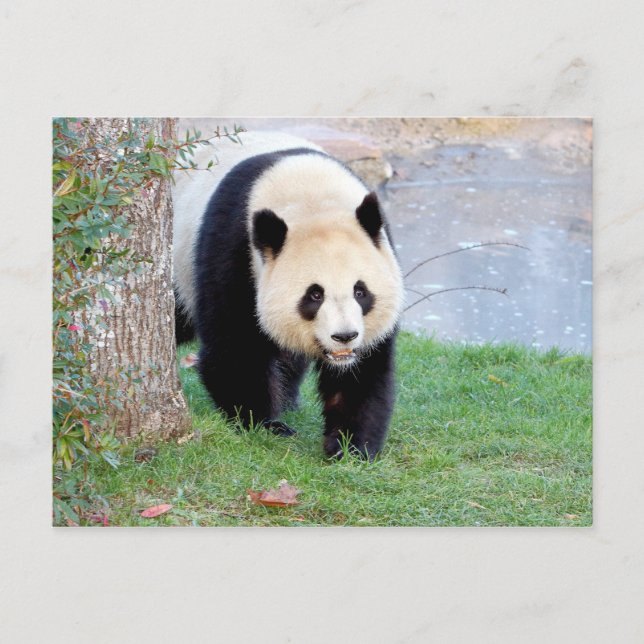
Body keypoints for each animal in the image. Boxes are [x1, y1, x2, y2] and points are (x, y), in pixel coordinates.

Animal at [172, 131, 404, 459]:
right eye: (314, 295)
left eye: (361, 292)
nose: (344, 336)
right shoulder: (235, 250)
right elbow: (235, 347)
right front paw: (263, 424)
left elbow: (363, 372)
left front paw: (350, 446)